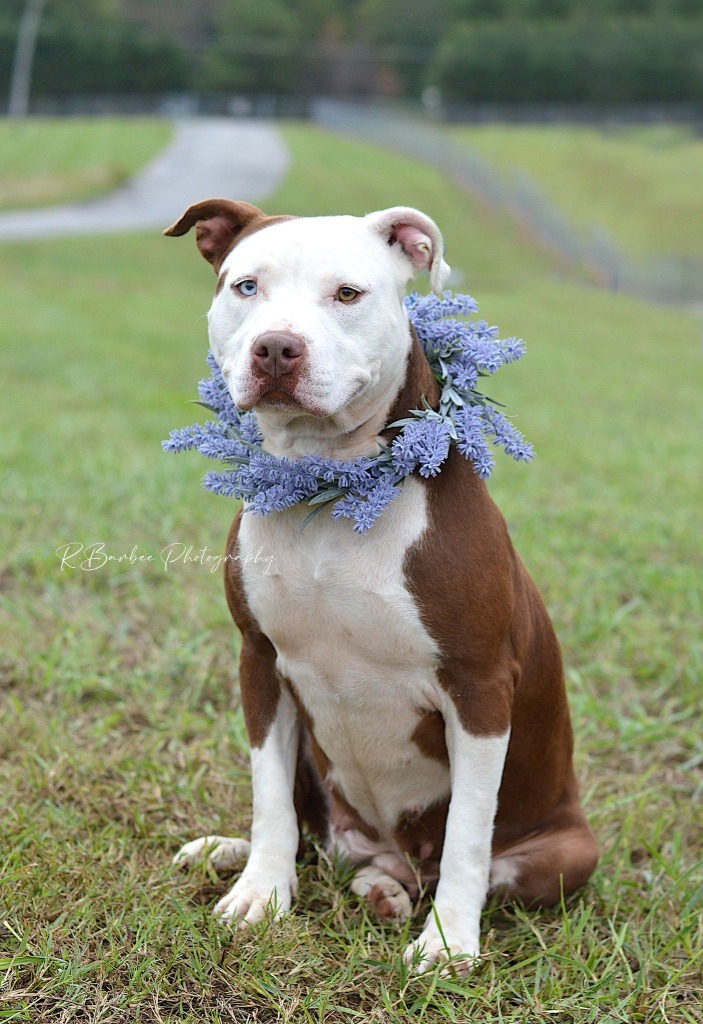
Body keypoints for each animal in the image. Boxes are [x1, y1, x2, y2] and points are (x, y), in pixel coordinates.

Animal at [166, 197, 597, 966]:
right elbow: (270, 799)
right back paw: (249, 856)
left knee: (474, 867)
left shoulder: (479, 689)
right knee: (315, 834)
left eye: (347, 293)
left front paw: (449, 946)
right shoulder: (259, 660)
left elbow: (468, 837)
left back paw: (396, 895)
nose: (276, 348)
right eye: (246, 286)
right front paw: (260, 894)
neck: (329, 489)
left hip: (570, 852)